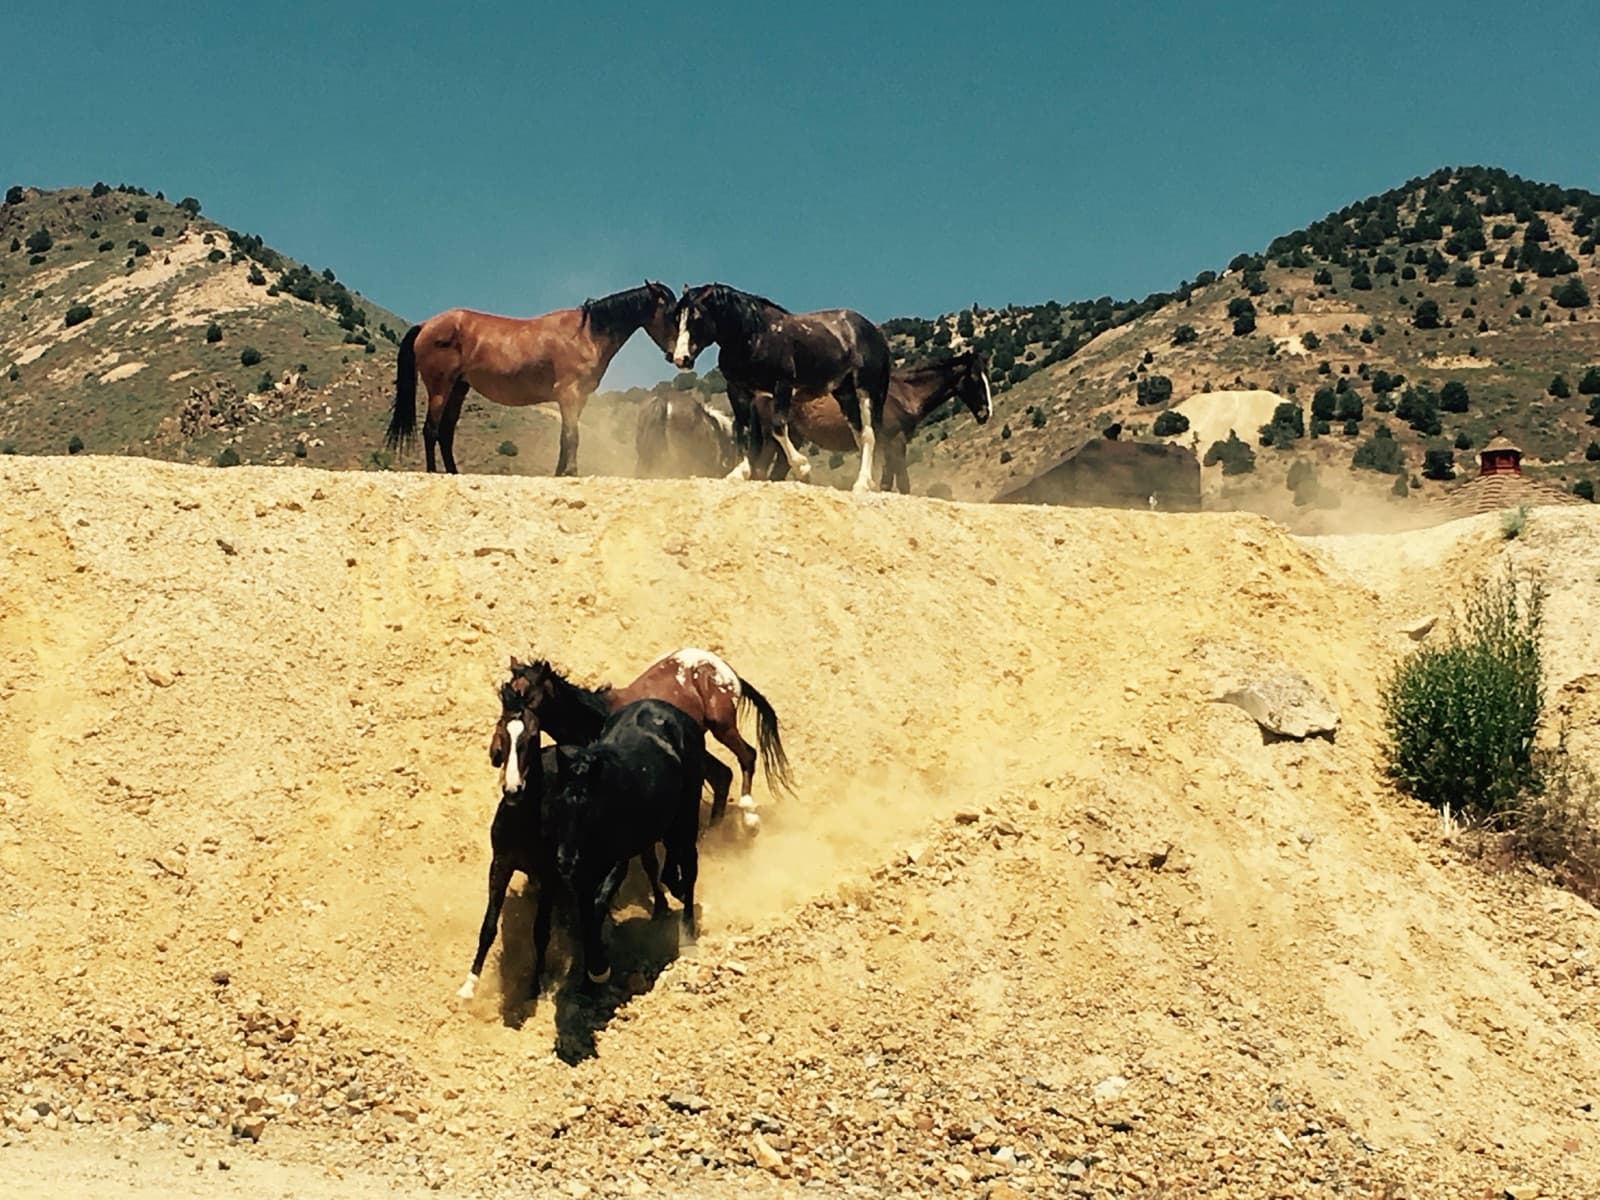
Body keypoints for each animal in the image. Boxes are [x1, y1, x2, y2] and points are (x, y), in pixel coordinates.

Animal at [386, 281, 679, 476]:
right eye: (672, 314)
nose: (678, 356)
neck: (585, 334)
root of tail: (426, 325)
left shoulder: (578, 399)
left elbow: (565, 437)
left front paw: (560, 473)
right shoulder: (569, 394)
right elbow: (572, 436)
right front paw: (571, 472)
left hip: (459, 388)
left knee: (445, 433)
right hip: (440, 387)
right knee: (431, 430)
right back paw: (433, 472)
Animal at [503, 648, 792, 830]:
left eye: (527, 693)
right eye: (505, 691)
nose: (511, 722)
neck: (596, 716)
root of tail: (726, 671)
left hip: (722, 726)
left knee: (747, 756)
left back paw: (749, 818)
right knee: (722, 775)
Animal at [545, 699, 705, 984]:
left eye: (588, 809)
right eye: (557, 804)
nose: (566, 861)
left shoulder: (616, 863)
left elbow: (598, 905)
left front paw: (599, 967)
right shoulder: (582, 874)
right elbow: (585, 912)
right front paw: (592, 969)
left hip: (686, 817)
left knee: (688, 867)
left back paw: (687, 934)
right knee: (657, 865)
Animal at [667, 283, 893, 492]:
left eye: (697, 318)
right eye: (677, 319)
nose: (680, 359)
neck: (754, 336)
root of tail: (873, 331)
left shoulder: (782, 387)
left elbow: (778, 428)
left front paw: (802, 469)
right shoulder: (738, 391)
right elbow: (742, 429)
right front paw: (739, 472)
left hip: (867, 390)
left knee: (869, 434)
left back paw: (862, 483)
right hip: (844, 393)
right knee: (859, 434)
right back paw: (870, 482)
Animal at [746, 351, 992, 492]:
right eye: (975, 378)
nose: (986, 414)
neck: (902, 394)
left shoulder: (888, 445)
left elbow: (887, 483)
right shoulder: (896, 442)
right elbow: (902, 483)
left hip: (790, 439)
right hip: (774, 439)